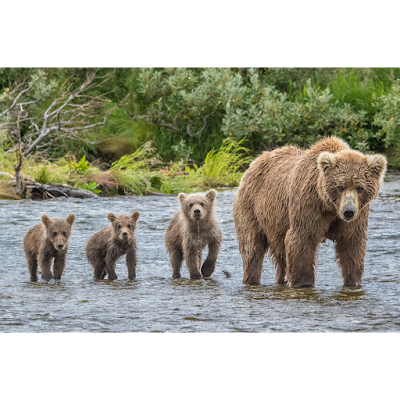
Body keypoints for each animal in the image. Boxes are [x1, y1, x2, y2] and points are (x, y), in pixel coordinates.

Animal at [233, 138, 386, 288]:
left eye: (360, 188)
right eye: (340, 187)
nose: (348, 212)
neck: (329, 206)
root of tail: (255, 162)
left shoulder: (356, 215)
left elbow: (351, 245)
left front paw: (353, 281)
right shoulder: (308, 205)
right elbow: (302, 240)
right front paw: (303, 282)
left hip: (276, 224)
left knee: (281, 255)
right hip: (252, 208)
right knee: (252, 248)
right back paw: (251, 279)